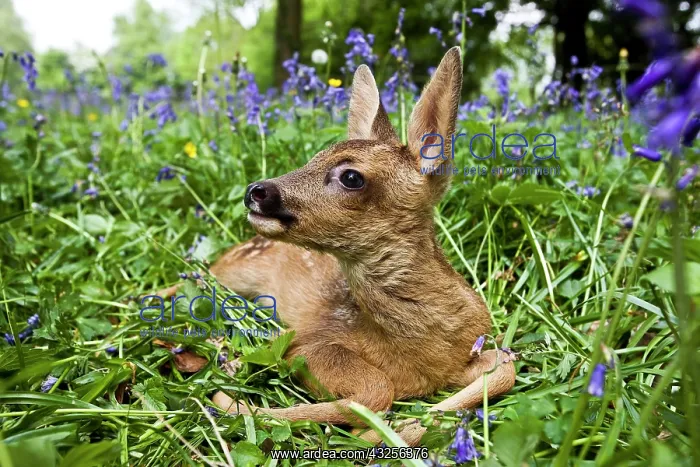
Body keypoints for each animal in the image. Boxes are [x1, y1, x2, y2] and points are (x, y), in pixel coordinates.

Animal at [199, 47, 516, 446]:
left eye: (351, 176)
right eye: (314, 157)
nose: (256, 191)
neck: (418, 353)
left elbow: (507, 366)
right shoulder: (312, 340)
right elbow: (376, 390)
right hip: (233, 273)